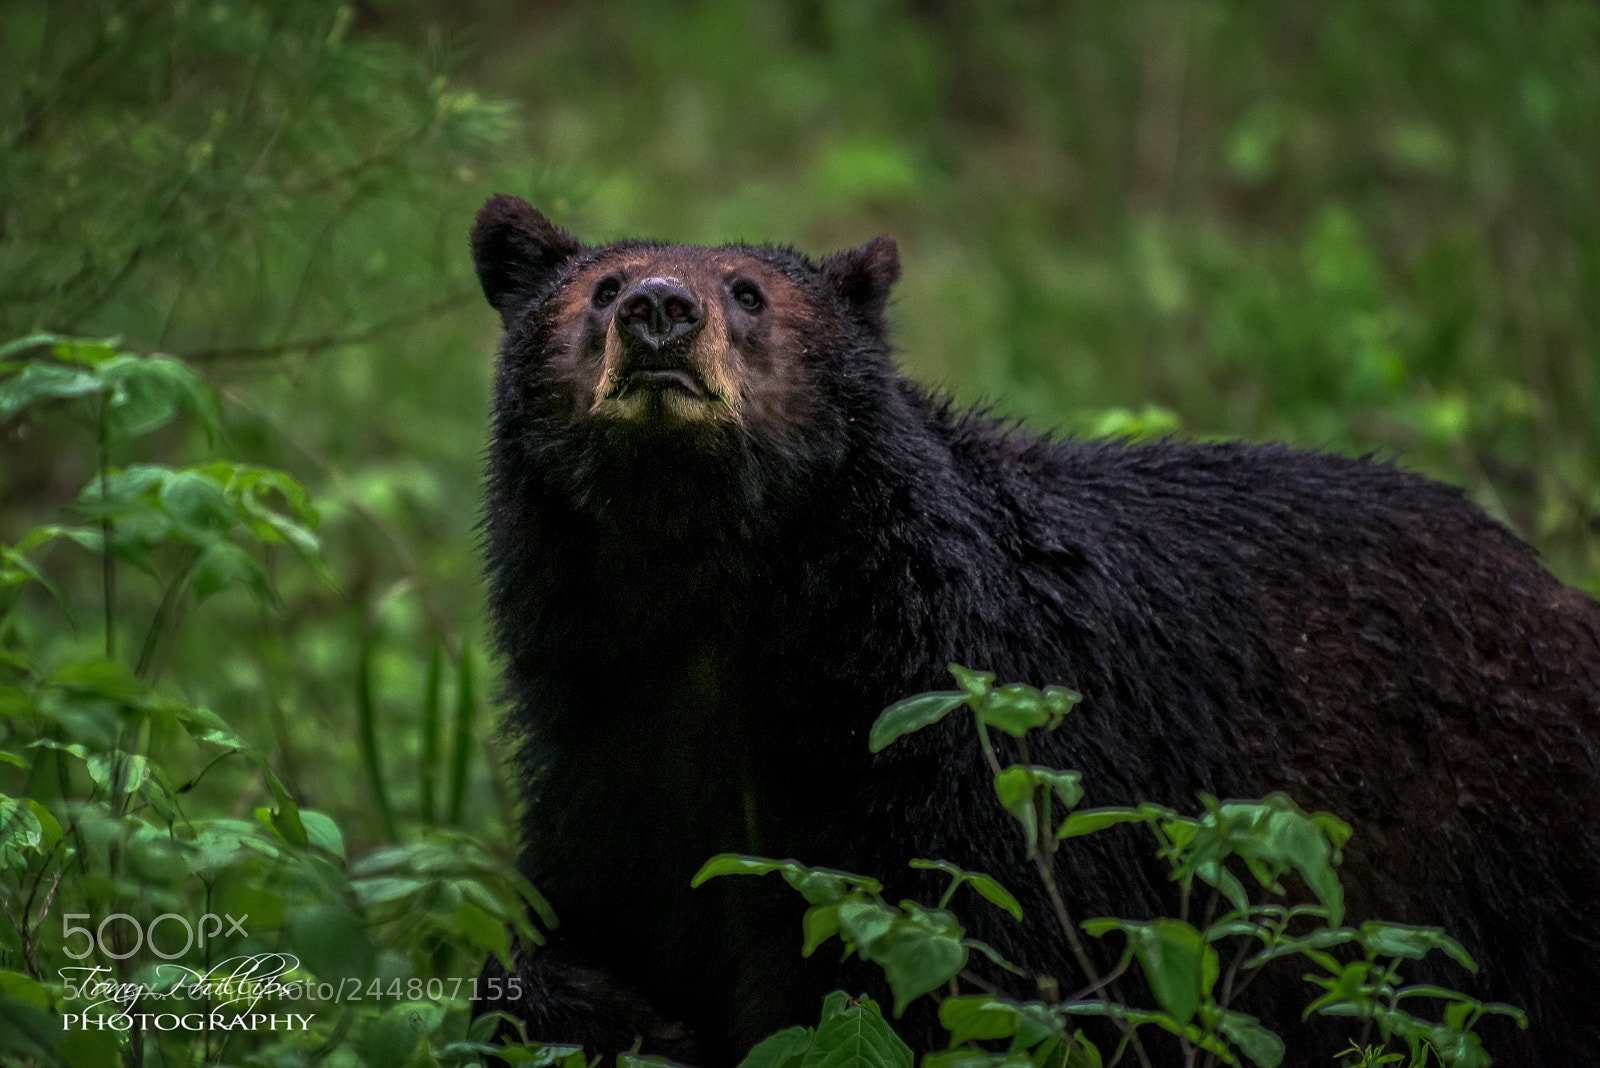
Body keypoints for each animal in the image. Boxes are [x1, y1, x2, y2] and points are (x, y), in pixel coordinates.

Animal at [468, 194, 1600, 1068]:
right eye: (601, 288)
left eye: (749, 291)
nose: (660, 312)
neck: (720, 612)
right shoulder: (612, 762)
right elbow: (577, 932)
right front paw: (603, 1005)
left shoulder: (986, 746)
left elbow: (987, 974)